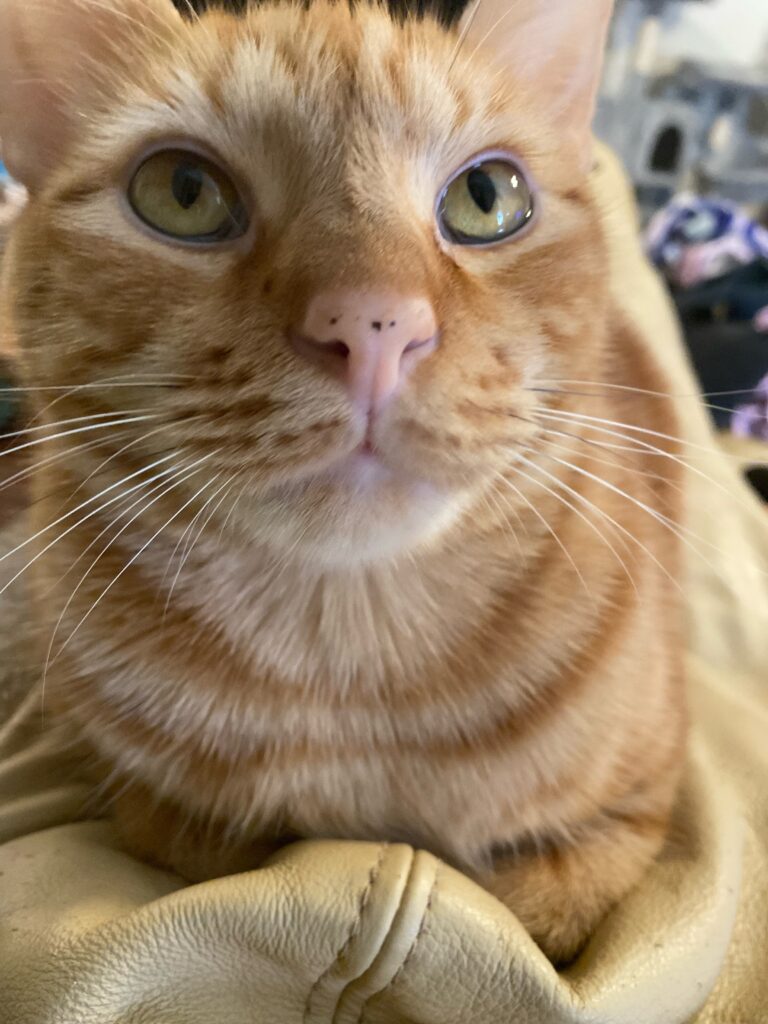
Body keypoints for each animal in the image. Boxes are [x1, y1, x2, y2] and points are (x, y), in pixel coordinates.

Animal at [0, 0, 684, 958]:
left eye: (487, 197)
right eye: (183, 191)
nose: (374, 324)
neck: (351, 675)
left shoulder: (643, 808)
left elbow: (525, 904)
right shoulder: (134, 794)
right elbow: (208, 842)